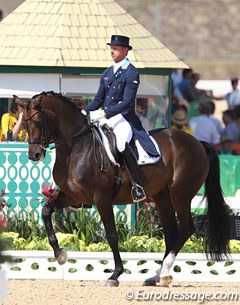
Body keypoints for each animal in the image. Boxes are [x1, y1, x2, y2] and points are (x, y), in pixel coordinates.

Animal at [16, 91, 231, 286]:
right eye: (24, 123)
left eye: (38, 121)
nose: (34, 155)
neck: (75, 147)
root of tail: (198, 143)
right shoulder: (72, 197)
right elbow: (46, 212)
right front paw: (60, 254)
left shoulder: (101, 198)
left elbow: (112, 235)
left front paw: (115, 274)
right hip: (162, 198)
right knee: (170, 233)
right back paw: (156, 276)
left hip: (181, 194)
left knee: (186, 228)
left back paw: (165, 271)